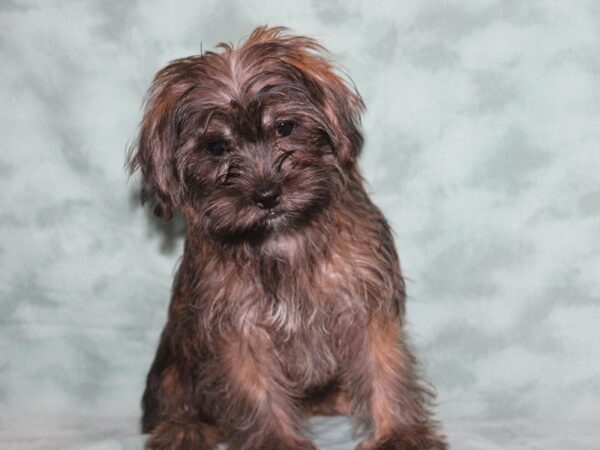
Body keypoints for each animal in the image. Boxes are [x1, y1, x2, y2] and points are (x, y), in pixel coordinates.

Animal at [129, 25, 448, 450]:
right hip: (171, 366)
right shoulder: (238, 325)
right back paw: (184, 427)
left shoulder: (364, 303)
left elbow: (384, 367)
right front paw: (274, 441)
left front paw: (400, 434)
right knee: (172, 401)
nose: (266, 195)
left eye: (284, 127)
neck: (283, 238)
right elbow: (255, 388)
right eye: (216, 147)